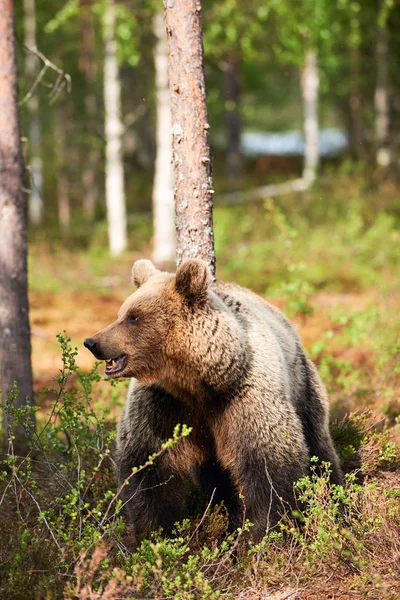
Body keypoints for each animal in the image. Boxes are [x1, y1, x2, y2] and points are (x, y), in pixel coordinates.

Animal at [83, 260, 342, 540]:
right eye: (121, 313)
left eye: (134, 317)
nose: (92, 342)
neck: (199, 384)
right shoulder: (162, 405)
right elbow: (147, 465)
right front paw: (155, 532)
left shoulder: (244, 397)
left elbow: (268, 464)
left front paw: (263, 531)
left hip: (303, 385)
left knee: (319, 447)